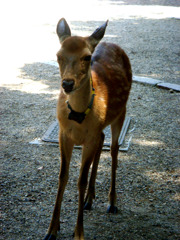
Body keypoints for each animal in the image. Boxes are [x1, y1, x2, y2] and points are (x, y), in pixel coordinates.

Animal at [43, 18, 131, 240]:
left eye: (87, 57)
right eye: (58, 55)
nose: (67, 83)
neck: (78, 117)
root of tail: (110, 42)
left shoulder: (89, 138)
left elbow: (80, 180)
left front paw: (78, 233)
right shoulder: (64, 135)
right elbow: (62, 177)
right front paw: (52, 229)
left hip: (121, 112)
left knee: (114, 150)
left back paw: (111, 202)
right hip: (100, 129)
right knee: (102, 141)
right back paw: (89, 199)